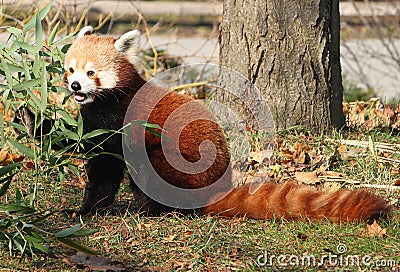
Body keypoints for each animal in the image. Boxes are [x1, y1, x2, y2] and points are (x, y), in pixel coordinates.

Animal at [22, 26, 390, 223]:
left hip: (173, 159)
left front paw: (86, 210)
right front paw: (31, 120)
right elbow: (84, 149)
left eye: (91, 73)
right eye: (70, 69)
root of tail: (216, 185)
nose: (75, 87)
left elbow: (103, 165)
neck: (107, 100)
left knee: (151, 171)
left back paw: (149, 210)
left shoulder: (119, 119)